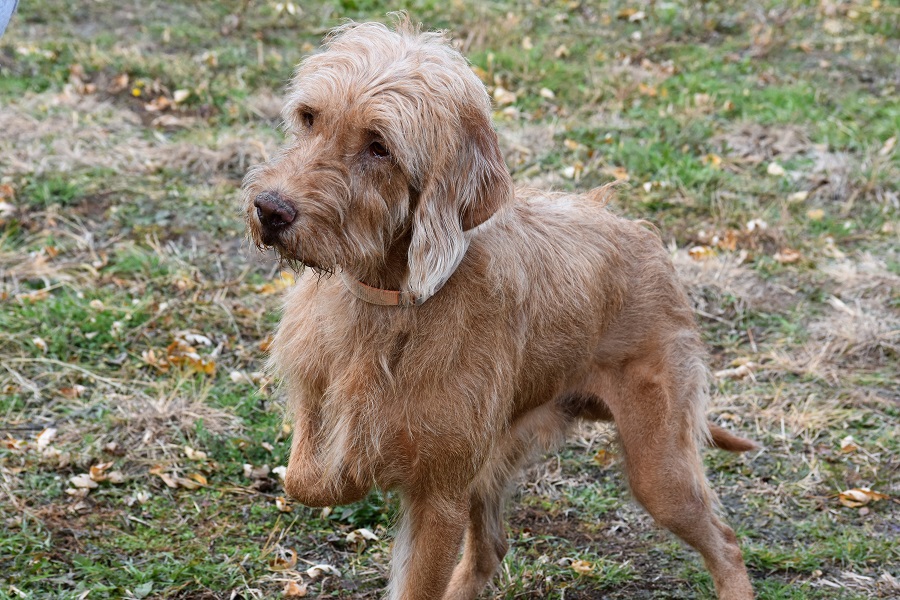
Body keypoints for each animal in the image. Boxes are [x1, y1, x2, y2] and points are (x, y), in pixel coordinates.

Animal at [243, 18, 756, 600]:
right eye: (309, 118)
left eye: (379, 147)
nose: (270, 209)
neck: (390, 303)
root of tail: (651, 244)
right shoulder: (317, 393)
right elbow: (305, 478)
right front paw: (348, 466)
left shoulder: (440, 497)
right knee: (490, 547)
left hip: (658, 469)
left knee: (725, 540)